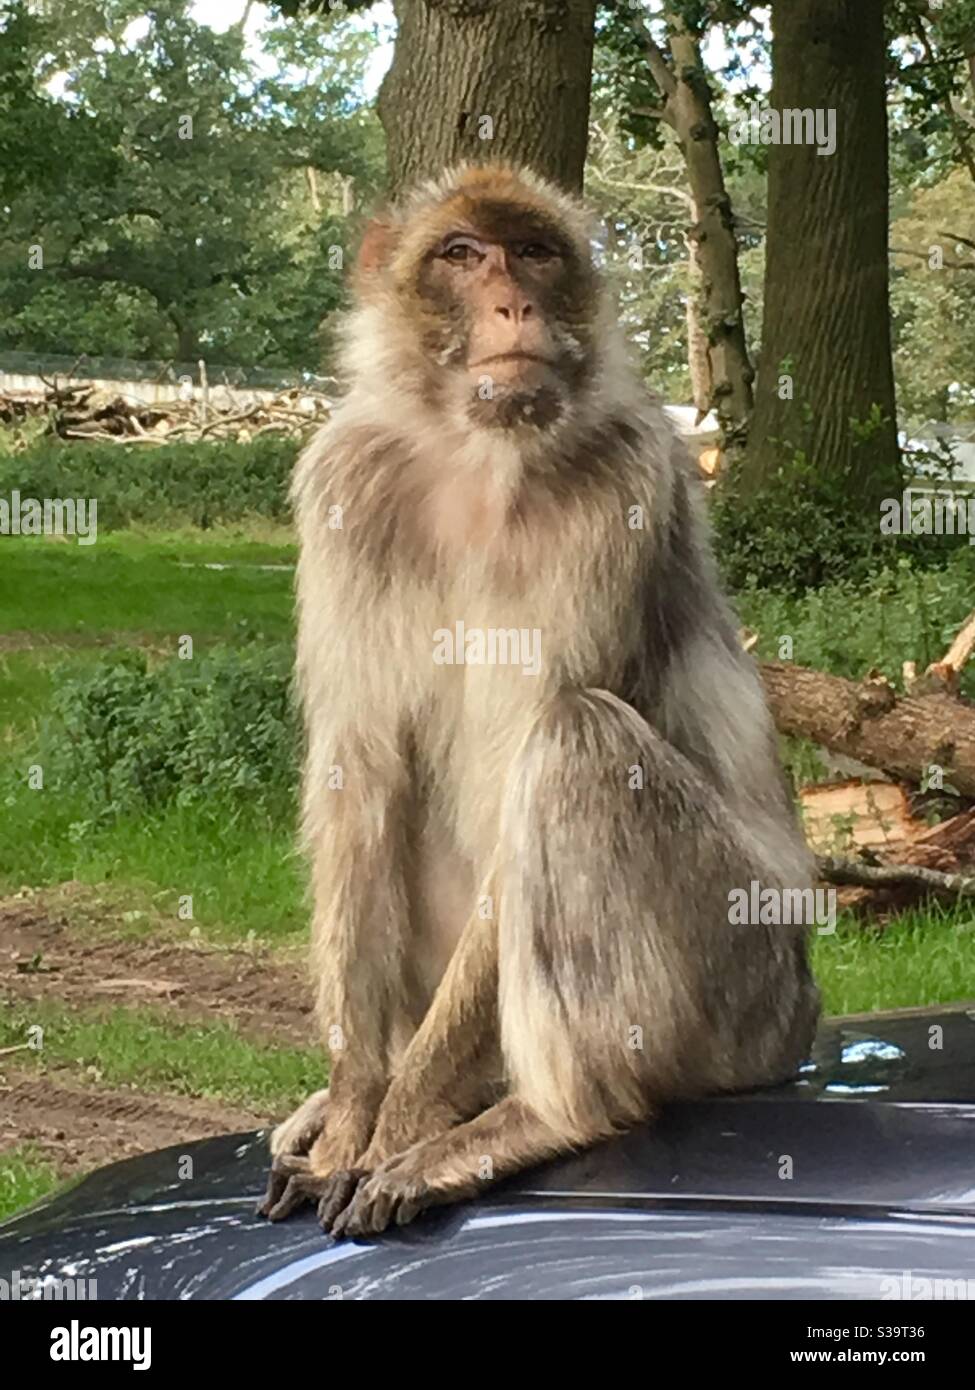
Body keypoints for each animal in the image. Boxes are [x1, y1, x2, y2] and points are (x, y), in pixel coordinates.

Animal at [258, 162, 823, 1239]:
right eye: (461, 254)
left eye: (534, 253)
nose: (512, 303)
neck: (478, 457)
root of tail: (806, 1022)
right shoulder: (347, 486)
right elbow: (361, 769)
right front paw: (355, 1109)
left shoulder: (620, 488)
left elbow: (536, 743)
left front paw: (398, 1126)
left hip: (745, 985)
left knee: (576, 739)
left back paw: (540, 1115)